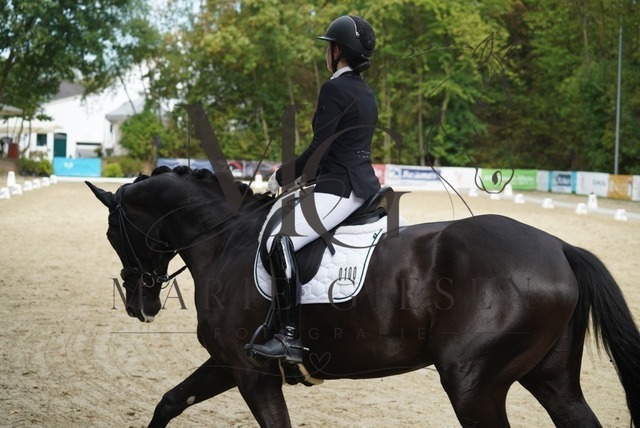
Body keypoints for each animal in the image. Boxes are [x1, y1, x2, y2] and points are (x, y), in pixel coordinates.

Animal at [87, 165, 640, 427]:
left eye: (114, 232)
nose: (139, 305)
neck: (225, 239)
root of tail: (559, 247)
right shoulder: (230, 363)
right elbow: (169, 402)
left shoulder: (250, 372)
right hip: (549, 377)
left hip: (473, 384)